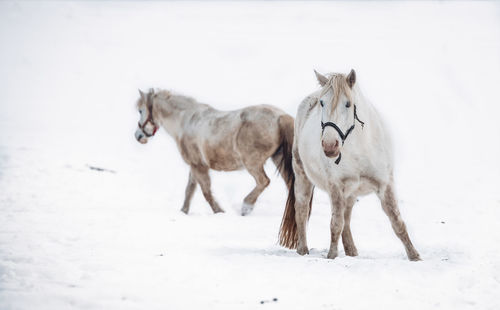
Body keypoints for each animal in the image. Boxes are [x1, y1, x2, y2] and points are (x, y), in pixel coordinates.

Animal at [280, 69, 420, 260]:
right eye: (322, 103)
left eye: (348, 104)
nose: (329, 145)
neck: (360, 149)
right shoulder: (336, 186)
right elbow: (335, 224)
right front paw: (332, 256)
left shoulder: (385, 184)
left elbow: (397, 221)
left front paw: (415, 256)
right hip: (303, 177)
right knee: (301, 210)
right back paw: (303, 250)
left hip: (351, 193)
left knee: (346, 218)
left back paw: (351, 251)